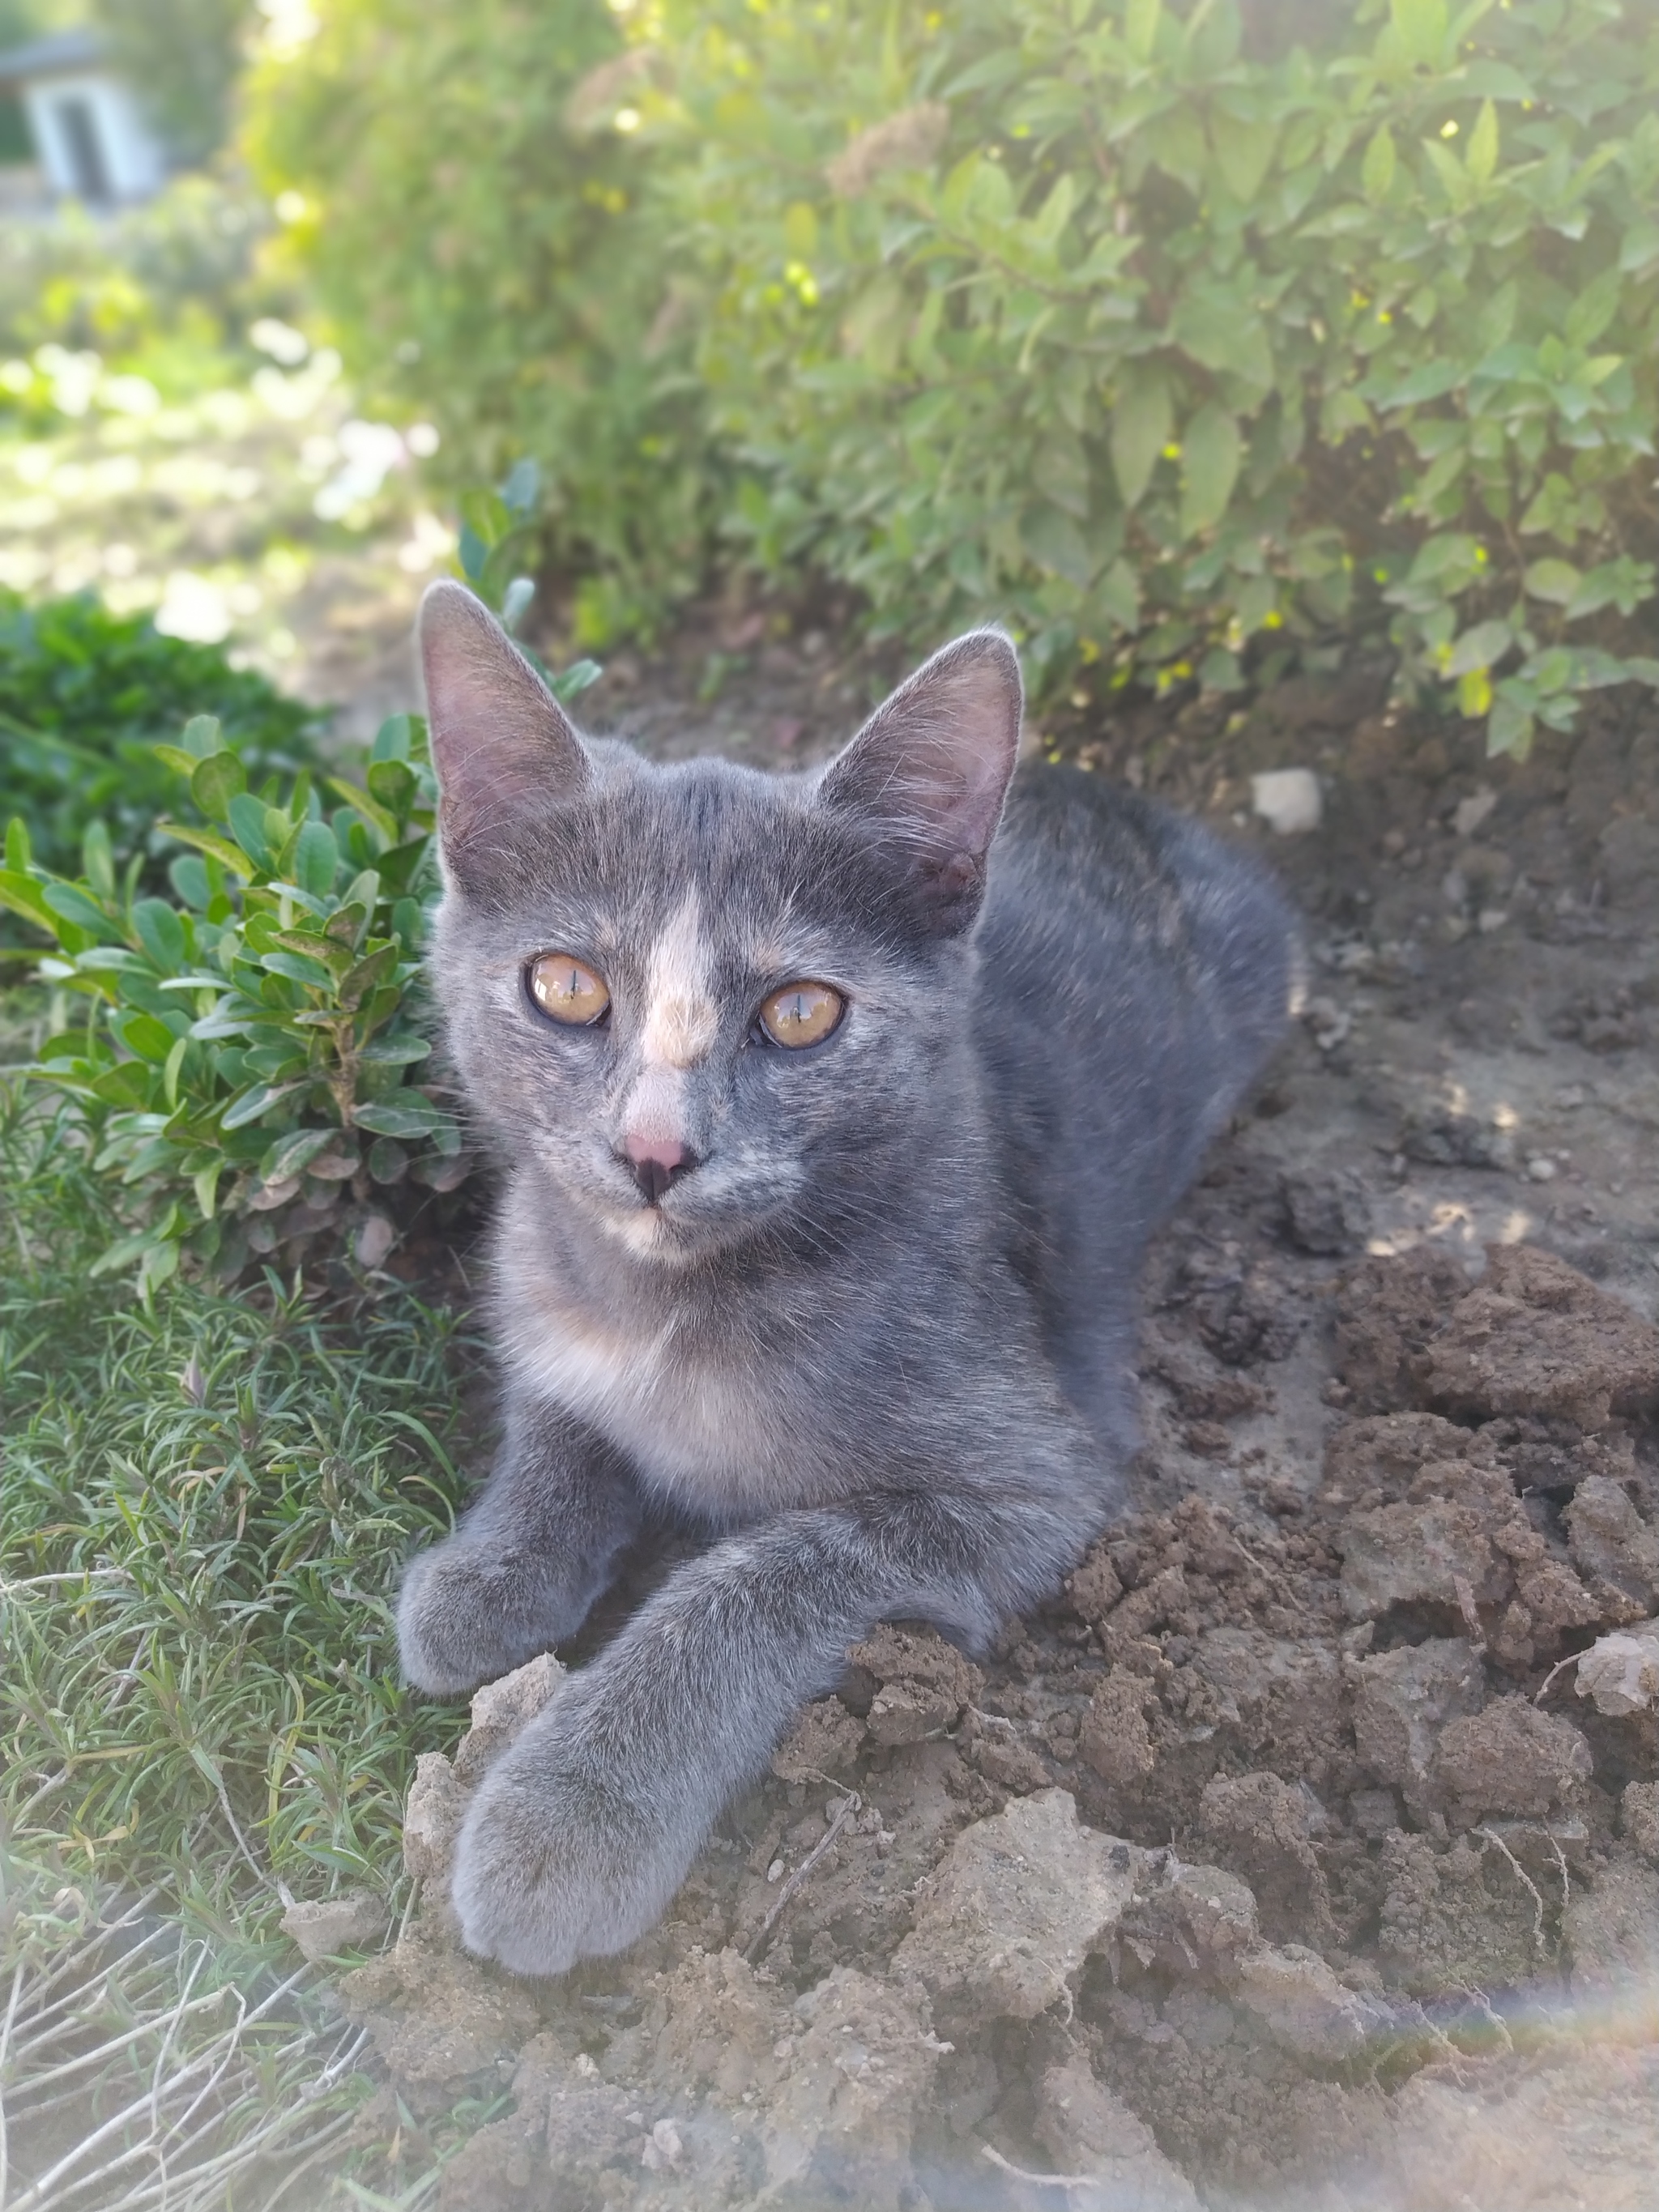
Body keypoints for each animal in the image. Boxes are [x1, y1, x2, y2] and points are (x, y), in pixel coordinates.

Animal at [400, 583, 1300, 1973]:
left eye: (802, 1012)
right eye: (566, 986)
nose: (654, 1150)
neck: (677, 1304)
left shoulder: (1041, 1476)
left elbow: (770, 1567)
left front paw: (570, 1808)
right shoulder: (537, 1275)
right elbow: (557, 1417)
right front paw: (489, 1573)